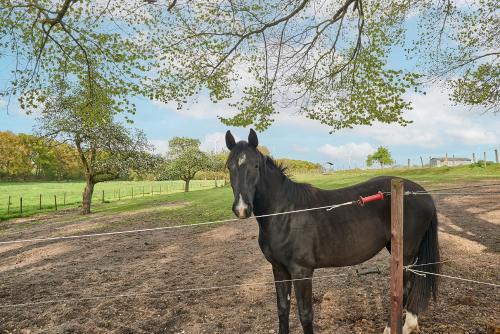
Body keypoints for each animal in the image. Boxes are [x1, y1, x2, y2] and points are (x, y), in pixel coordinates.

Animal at [225, 130, 440, 334]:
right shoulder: (279, 269)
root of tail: (423, 194)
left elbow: (305, 314)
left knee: (405, 287)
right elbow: (283, 309)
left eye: (255, 165)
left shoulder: (301, 271)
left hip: (407, 253)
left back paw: (394, 327)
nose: (242, 209)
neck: (285, 212)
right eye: (229, 166)